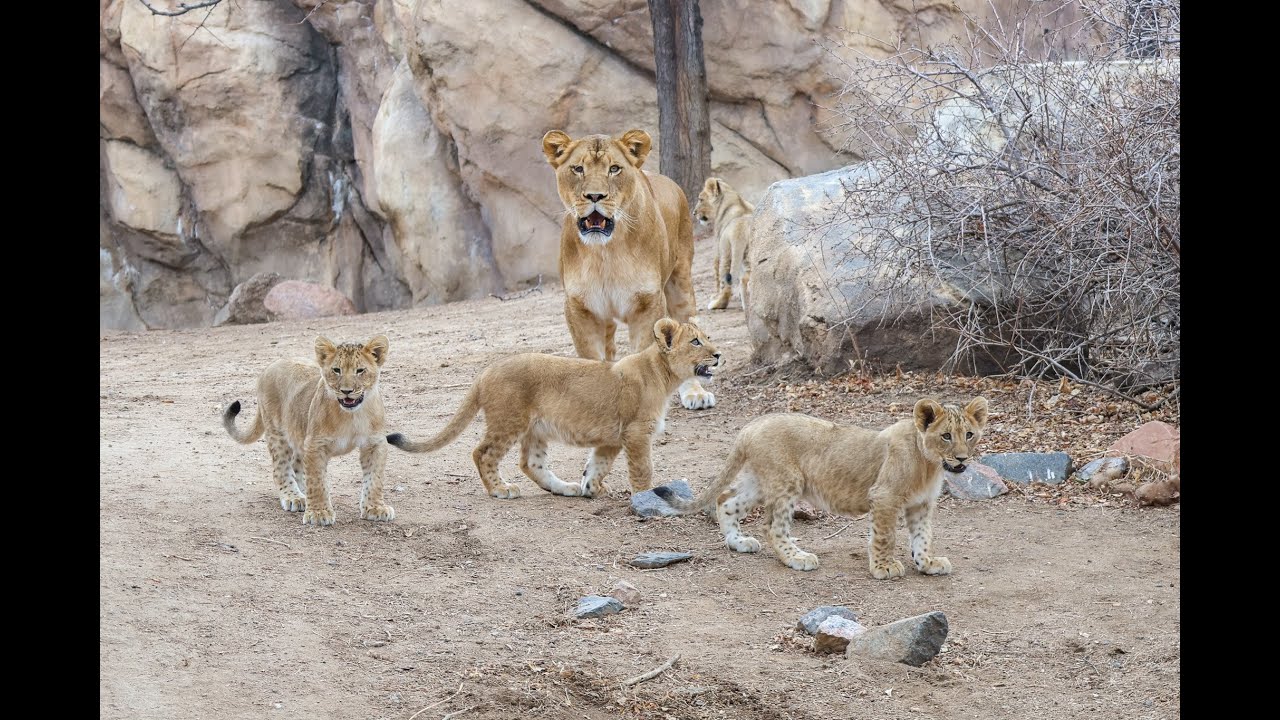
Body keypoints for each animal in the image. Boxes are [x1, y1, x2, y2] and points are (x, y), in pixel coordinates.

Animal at [222, 335, 395, 527]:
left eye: (360, 370)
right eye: (336, 370)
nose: (346, 391)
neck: (351, 416)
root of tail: (270, 366)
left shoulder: (375, 443)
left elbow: (374, 478)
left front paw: (375, 508)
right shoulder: (315, 444)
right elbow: (317, 479)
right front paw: (319, 513)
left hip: (298, 434)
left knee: (297, 467)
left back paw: (303, 493)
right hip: (277, 433)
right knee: (281, 469)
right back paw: (294, 497)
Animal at [386, 319, 721, 500]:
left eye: (708, 338)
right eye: (695, 341)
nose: (718, 354)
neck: (664, 376)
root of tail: (485, 372)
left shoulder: (612, 438)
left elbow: (597, 465)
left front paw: (591, 488)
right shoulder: (637, 433)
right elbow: (642, 469)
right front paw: (645, 497)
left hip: (535, 429)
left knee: (530, 464)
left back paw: (566, 488)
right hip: (509, 420)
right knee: (482, 453)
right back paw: (500, 489)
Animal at [541, 128, 715, 411]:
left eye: (614, 169)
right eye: (578, 169)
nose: (595, 196)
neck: (605, 253)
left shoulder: (648, 303)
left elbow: (645, 355)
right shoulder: (580, 307)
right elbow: (591, 359)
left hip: (681, 280)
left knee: (688, 327)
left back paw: (695, 393)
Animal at [654, 397, 989, 579]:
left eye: (969, 435)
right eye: (946, 436)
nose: (962, 459)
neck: (929, 464)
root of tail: (750, 427)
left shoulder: (921, 504)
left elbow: (922, 538)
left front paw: (927, 563)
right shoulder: (884, 497)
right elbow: (885, 537)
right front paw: (883, 568)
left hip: (760, 482)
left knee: (726, 500)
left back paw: (739, 543)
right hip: (787, 482)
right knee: (773, 526)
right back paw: (798, 558)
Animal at [693, 177, 755, 311]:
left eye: (700, 199)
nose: (694, 213)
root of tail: (741, 229)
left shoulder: (718, 248)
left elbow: (716, 274)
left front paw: (714, 296)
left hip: (726, 252)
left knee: (726, 283)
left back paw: (717, 304)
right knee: (746, 278)